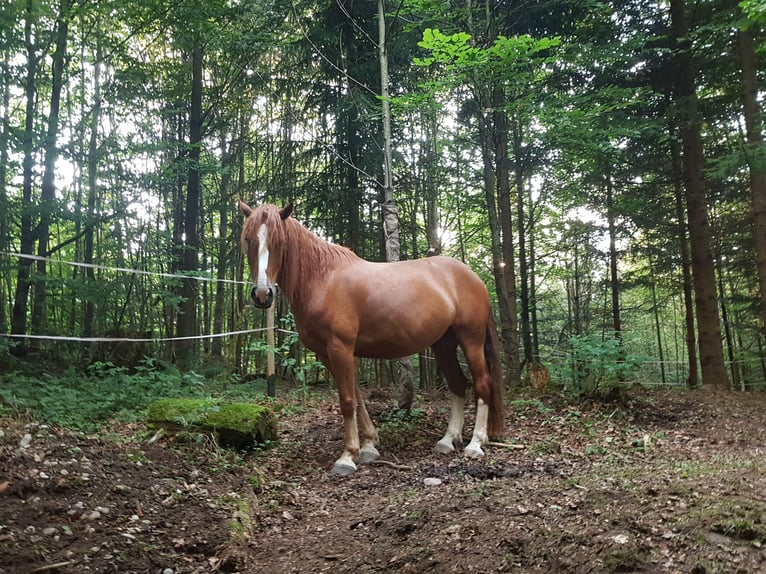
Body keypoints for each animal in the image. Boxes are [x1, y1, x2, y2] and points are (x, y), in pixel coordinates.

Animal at [240, 202, 504, 476]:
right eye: (248, 239)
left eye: (279, 242)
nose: (262, 294)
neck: (323, 280)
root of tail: (474, 278)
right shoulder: (327, 353)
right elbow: (356, 397)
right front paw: (369, 445)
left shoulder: (340, 348)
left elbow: (347, 400)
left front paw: (347, 456)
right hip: (444, 344)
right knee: (457, 384)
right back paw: (448, 439)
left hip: (471, 339)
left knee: (482, 383)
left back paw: (475, 443)